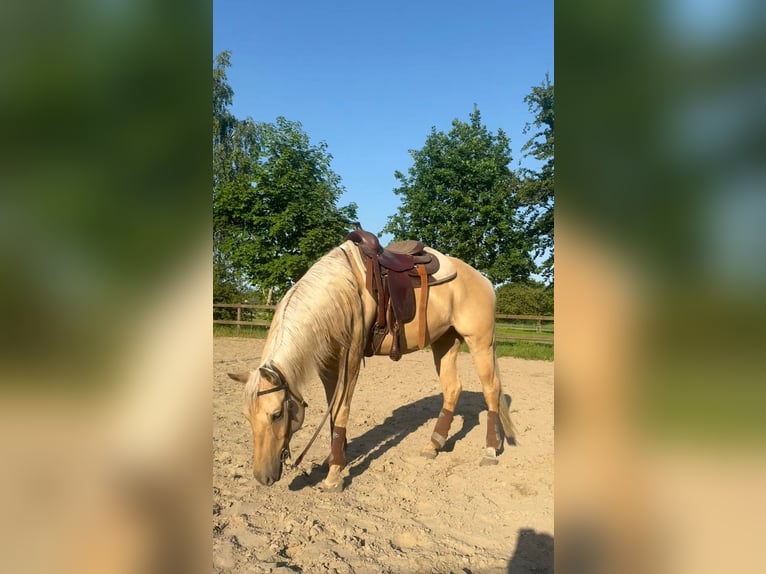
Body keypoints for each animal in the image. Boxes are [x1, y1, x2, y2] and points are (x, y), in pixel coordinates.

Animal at [228, 234, 516, 492]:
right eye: (246, 416)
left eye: (276, 414)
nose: (263, 477)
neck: (341, 294)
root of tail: (483, 279)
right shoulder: (328, 363)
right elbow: (333, 410)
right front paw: (333, 459)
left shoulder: (351, 359)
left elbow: (342, 411)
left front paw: (334, 476)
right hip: (445, 342)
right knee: (453, 388)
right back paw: (433, 445)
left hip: (480, 342)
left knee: (491, 390)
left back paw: (490, 450)